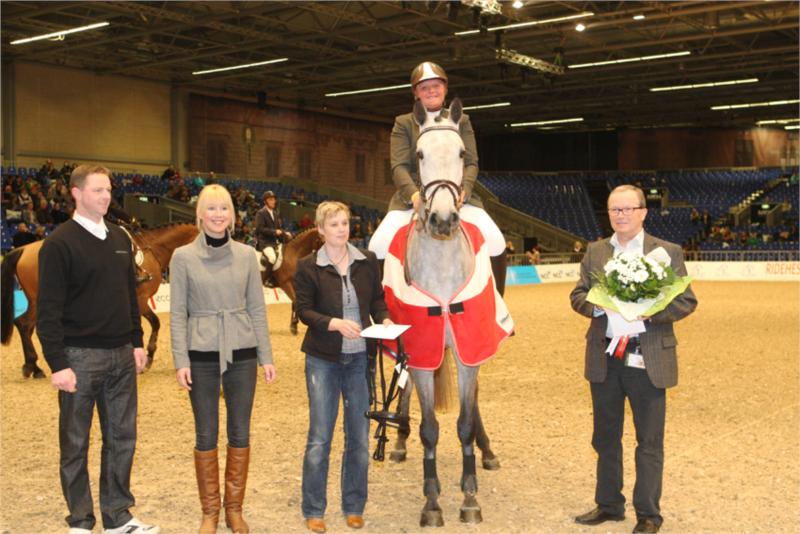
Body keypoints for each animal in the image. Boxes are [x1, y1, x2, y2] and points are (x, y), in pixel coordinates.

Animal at [0, 224, 198, 378]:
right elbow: (155, 323)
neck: (154, 249)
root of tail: (24, 249)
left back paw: (32, 367)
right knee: (24, 324)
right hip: (41, 300)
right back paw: (35, 367)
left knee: (26, 326)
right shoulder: (141, 300)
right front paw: (147, 358)